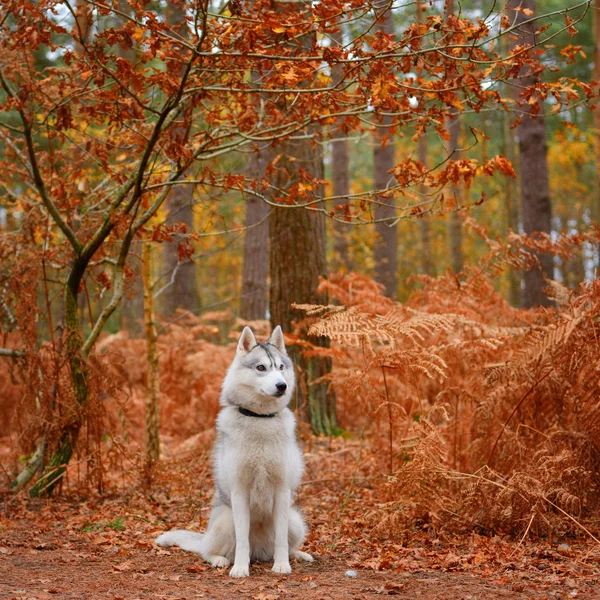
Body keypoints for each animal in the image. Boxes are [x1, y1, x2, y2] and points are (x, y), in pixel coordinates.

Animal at [155, 326, 314, 580]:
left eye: (281, 367)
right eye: (261, 368)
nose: (282, 386)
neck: (260, 420)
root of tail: (260, 551)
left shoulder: (282, 490)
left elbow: (280, 539)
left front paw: (282, 565)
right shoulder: (240, 492)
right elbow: (241, 540)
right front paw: (240, 568)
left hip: (295, 520)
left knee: (285, 544)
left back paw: (297, 555)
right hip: (225, 522)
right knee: (207, 551)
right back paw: (220, 560)